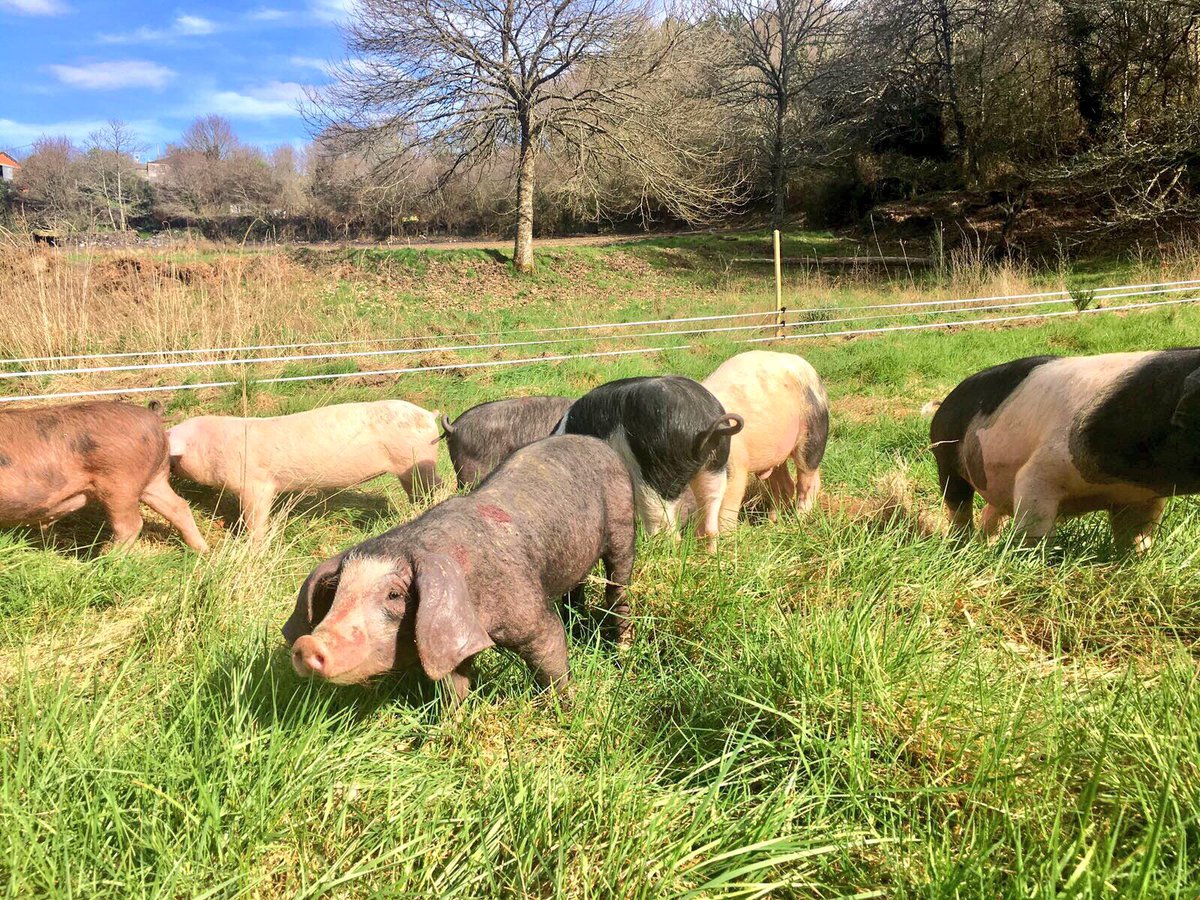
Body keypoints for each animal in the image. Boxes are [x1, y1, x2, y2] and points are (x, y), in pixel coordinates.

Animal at [0, 400, 209, 553]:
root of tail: (153, 418)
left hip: (120, 483)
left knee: (130, 525)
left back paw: (106, 562)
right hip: (153, 480)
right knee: (179, 506)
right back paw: (202, 551)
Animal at [168, 400, 441, 540]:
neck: (218, 446)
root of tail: (429, 414)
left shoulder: (256, 484)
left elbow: (256, 517)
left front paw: (252, 545)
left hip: (416, 460)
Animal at [282, 435, 636, 702]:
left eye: (394, 595)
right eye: (337, 591)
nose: (308, 643)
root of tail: (598, 442)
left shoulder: (528, 611)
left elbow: (551, 655)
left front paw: (564, 709)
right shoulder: (447, 639)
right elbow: (455, 683)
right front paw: (453, 721)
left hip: (623, 524)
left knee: (618, 585)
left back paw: (622, 648)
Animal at [699, 351, 829, 530]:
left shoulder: (735, 465)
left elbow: (727, 506)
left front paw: (726, 536)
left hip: (813, 432)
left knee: (808, 479)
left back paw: (797, 522)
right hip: (775, 455)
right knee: (785, 485)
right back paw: (770, 523)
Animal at [931, 348, 1200, 552]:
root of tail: (944, 403)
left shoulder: (1143, 497)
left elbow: (1137, 535)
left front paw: (1135, 560)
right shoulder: (1041, 470)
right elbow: (1034, 527)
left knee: (993, 509)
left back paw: (986, 545)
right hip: (945, 458)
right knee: (958, 505)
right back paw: (960, 546)